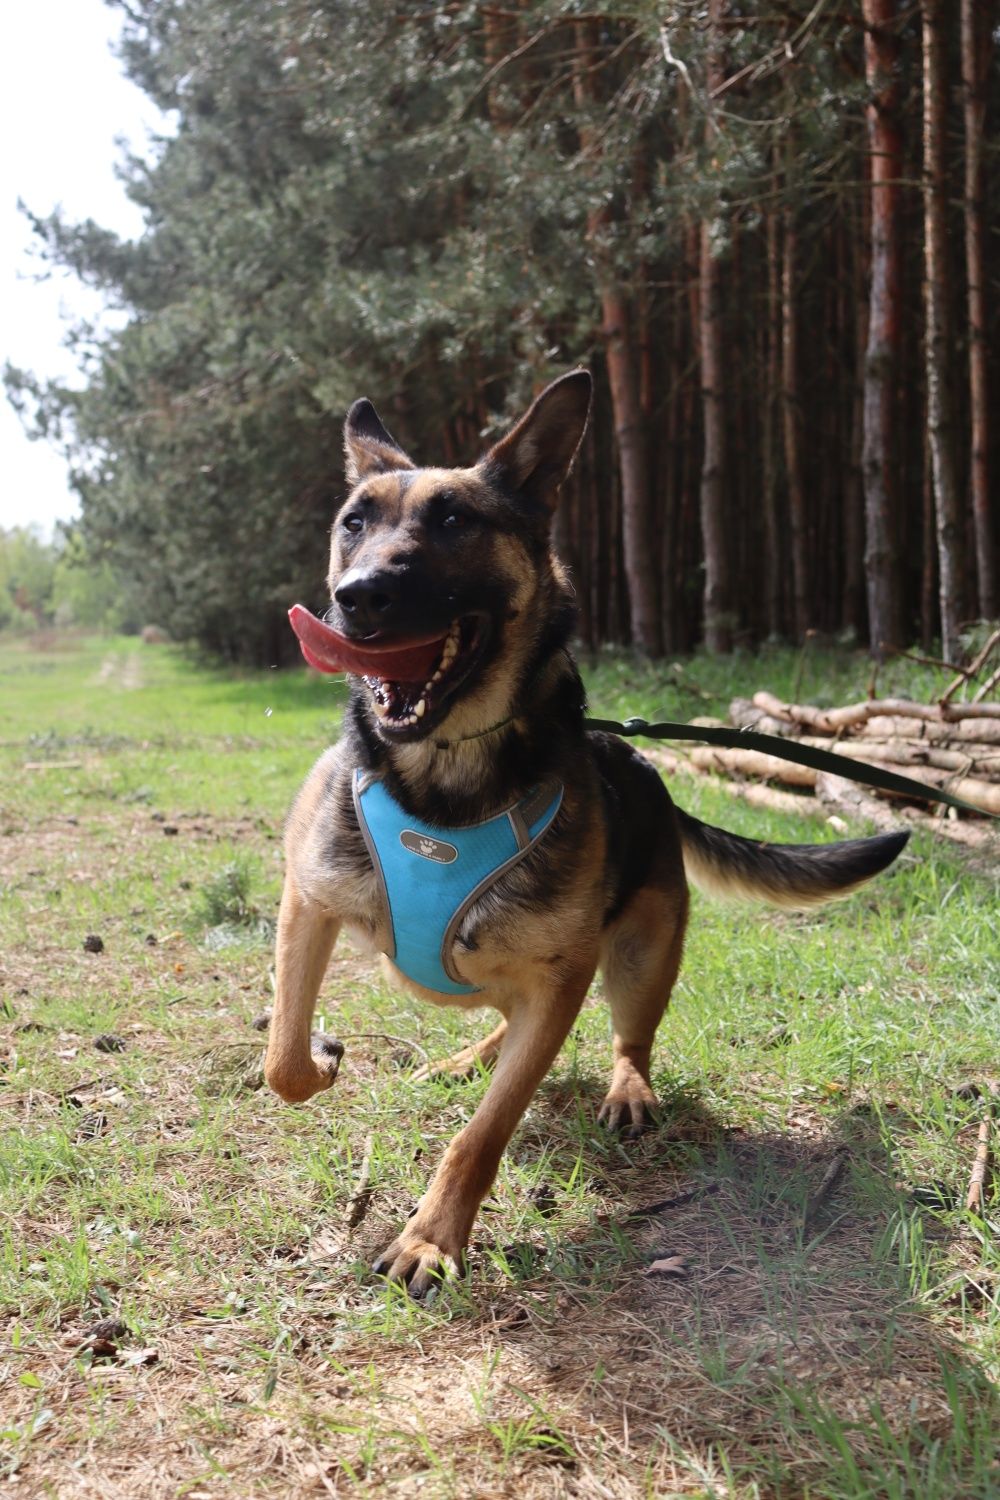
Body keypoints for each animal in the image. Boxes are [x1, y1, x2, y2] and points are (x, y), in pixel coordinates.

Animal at [263, 369, 905, 1296]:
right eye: (356, 522)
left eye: (454, 521)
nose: (358, 600)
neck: (447, 774)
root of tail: (643, 767)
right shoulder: (307, 902)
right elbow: (282, 1058)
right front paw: (320, 1061)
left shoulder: (559, 977)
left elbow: (483, 1135)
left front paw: (432, 1238)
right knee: (503, 1019)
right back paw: (465, 1058)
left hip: (638, 958)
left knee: (627, 1037)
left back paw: (626, 1089)